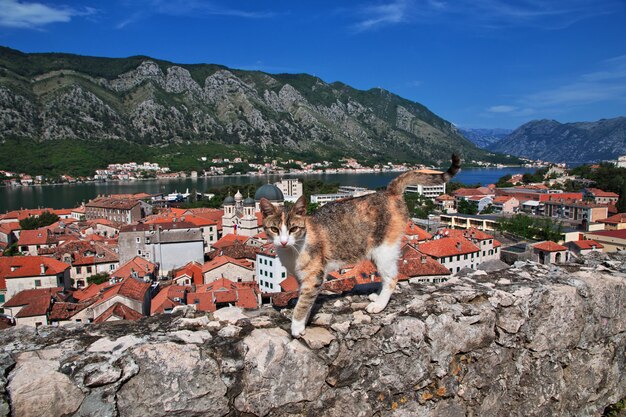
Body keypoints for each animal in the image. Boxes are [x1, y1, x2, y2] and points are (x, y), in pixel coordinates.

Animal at [258, 154, 458, 336]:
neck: (294, 249)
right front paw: (304, 319)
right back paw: (377, 296)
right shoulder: (303, 279)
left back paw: (379, 305)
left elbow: (302, 304)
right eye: (274, 229)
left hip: (384, 249)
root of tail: (388, 192)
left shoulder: (314, 276)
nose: (283, 241)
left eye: (293, 229)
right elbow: (306, 300)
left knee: (392, 278)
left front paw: (297, 327)